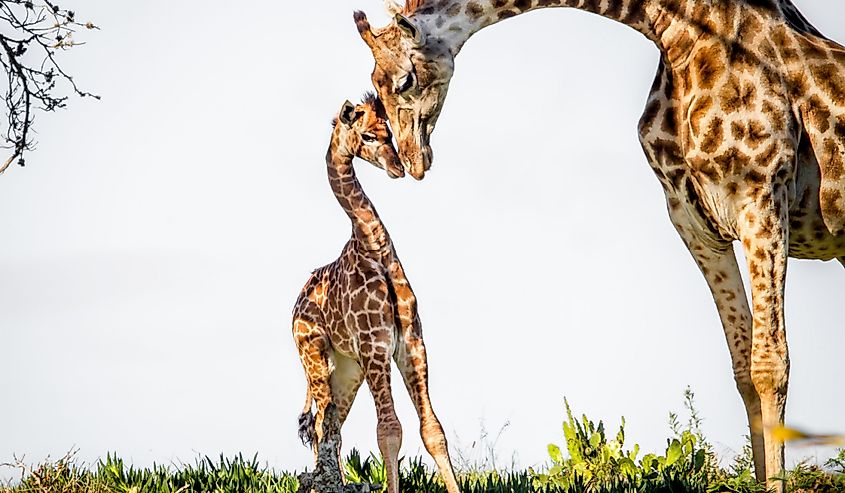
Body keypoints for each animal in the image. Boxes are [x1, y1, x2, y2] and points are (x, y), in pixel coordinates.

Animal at [292, 95, 462, 492]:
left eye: (389, 132)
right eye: (368, 135)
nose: (398, 168)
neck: (373, 247)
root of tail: (295, 306)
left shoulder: (411, 343)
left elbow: (433, 430)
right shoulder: (375, 346)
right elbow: (389, 429)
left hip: (346, 370)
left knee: (331, 424)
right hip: (314, 357)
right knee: (322, 425)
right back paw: (325, 482)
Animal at [352, 0, 844, 488]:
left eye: (404, 81)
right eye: (372, 86)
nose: (411, 160)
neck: (678, 33)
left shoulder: (761, 199)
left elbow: (770, 364)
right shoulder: (695, 223)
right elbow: (743, 368)